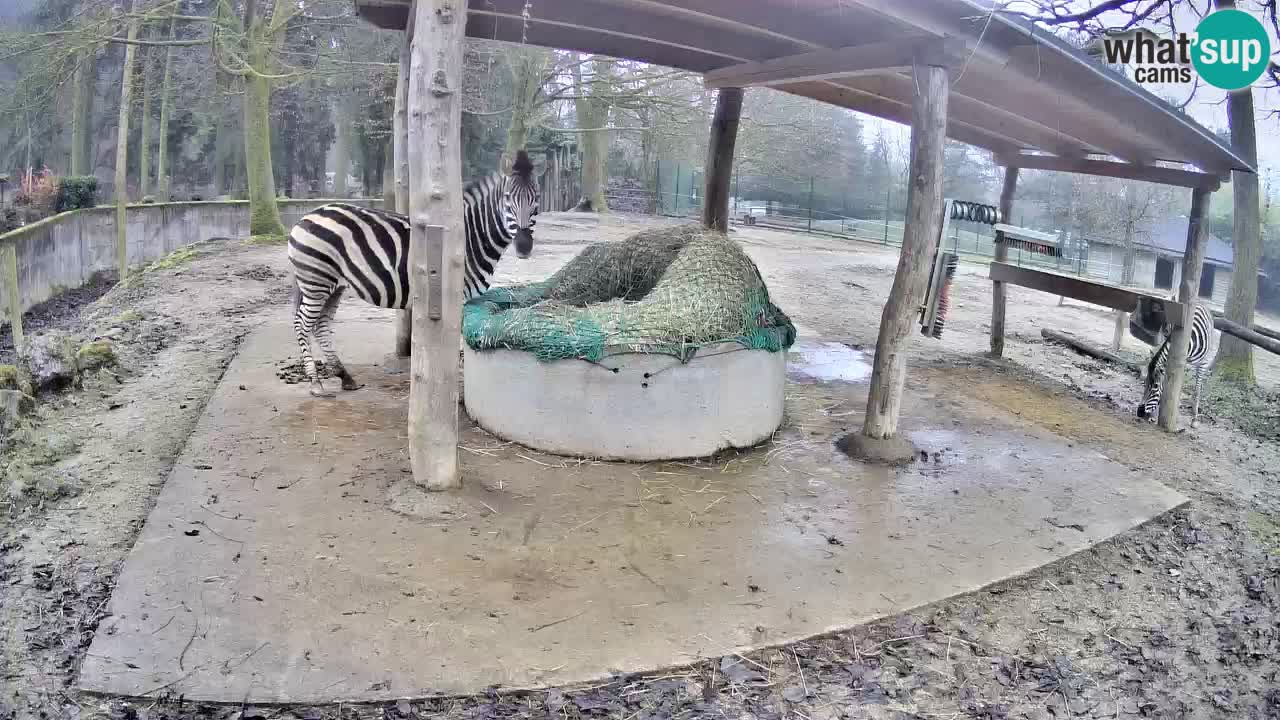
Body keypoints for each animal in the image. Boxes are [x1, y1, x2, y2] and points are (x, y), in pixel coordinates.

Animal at [287, 151, 540, 397]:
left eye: (536, 199)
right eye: (507, 199)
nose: (524, 246)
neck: (472, 236)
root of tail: (307, 215)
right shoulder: (458, 296)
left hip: (334, 285)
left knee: (321, 325)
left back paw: (344, 377)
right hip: (316, 281)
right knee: (302, 324)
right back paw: (315, 383)